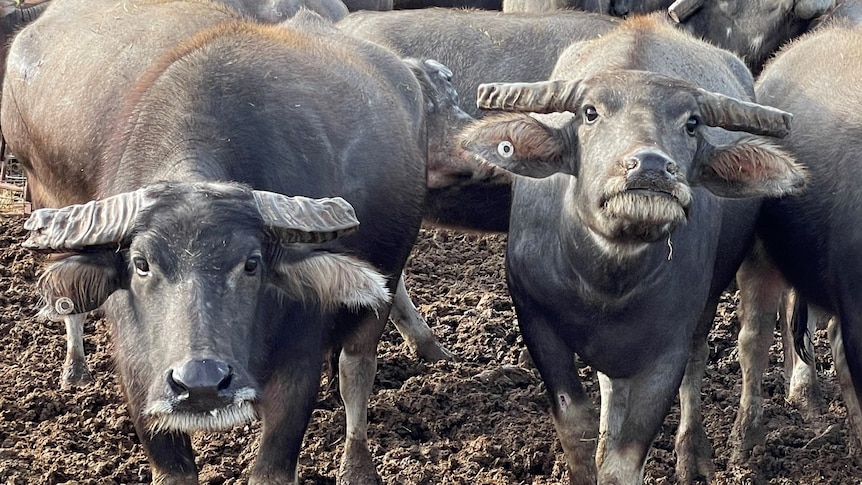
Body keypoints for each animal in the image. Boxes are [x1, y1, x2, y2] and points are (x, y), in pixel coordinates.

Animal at [1, 0, 472, 478]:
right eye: (141, 264)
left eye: (251, 263)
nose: (201, 383)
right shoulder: (139, 375)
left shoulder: (297, 364)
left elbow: (274, 463)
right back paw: (75, 371)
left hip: (381, 284)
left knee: (356, 369)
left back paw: (357, 465)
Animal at [462, 13, 808, 482]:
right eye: (590, 113)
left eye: (692, 123)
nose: (651, 167)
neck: (607, 281)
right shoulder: (536, 320)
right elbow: (576, 425)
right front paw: (591, 452)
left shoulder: (667, 347)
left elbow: (625, 460)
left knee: (700, 363)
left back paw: (692, 456)